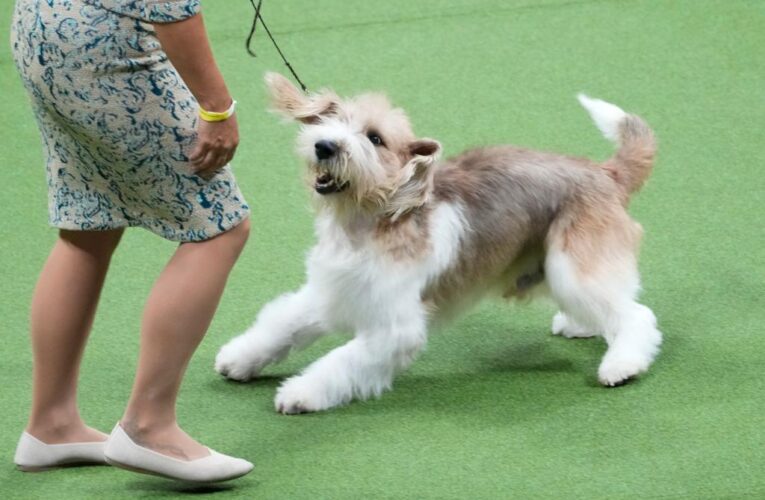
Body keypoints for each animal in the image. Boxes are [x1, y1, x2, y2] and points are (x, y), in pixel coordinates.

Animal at [212, 72, 660, 412]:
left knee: (636, 316)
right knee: (613, 307)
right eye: (331, 119)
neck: (367, 224)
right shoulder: (329, 292)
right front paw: (238, 359)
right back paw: (581, 327)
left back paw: (621, 365)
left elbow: (339, 361)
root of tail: (605, 173)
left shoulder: (394, 329)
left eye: (374, 138)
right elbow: (280, 325)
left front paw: (300, 393)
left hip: (573, 267)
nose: (325, 146)